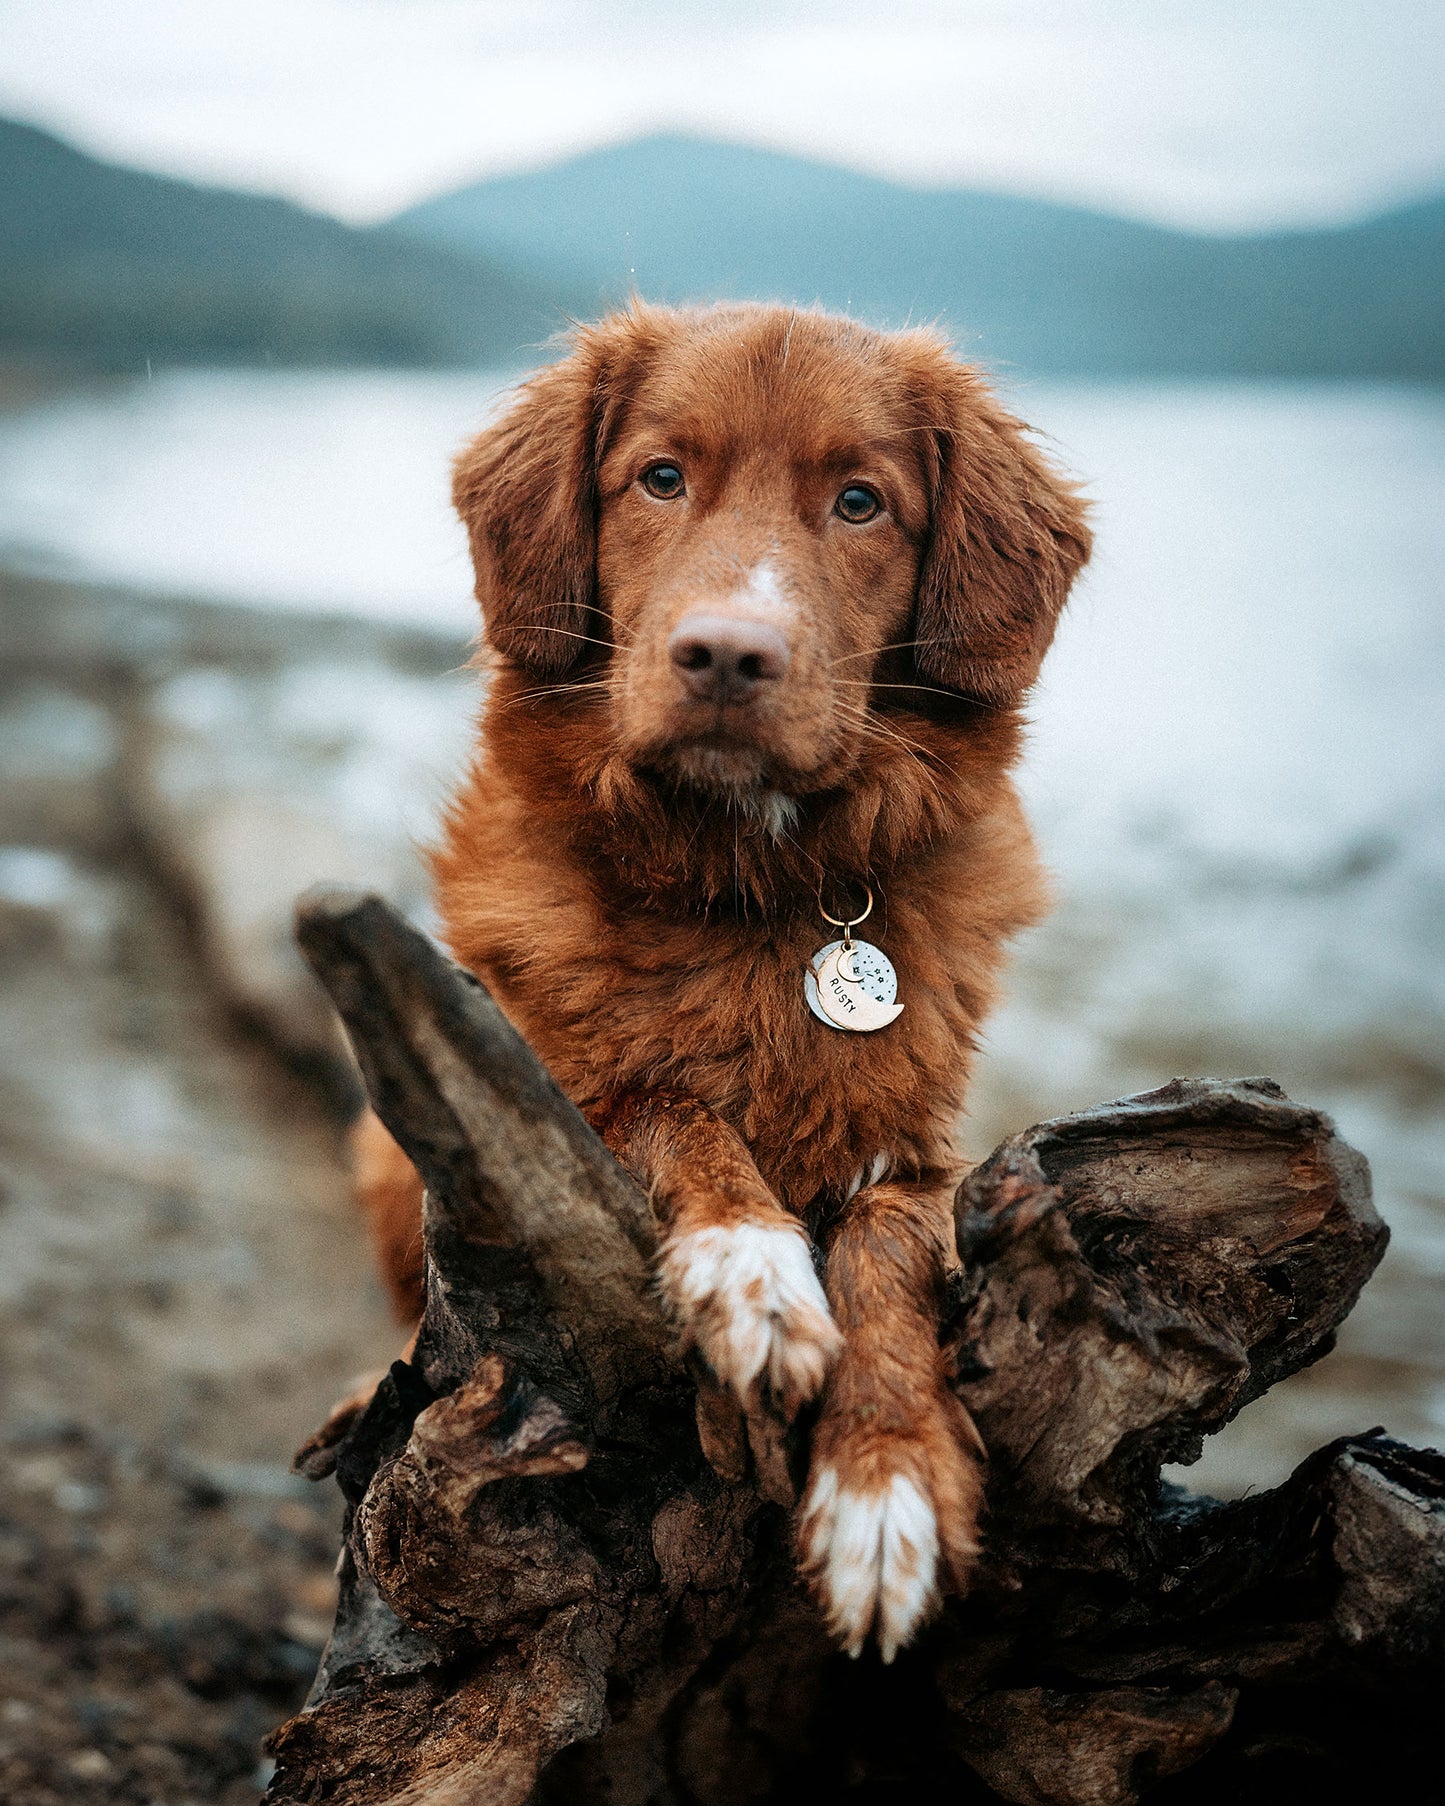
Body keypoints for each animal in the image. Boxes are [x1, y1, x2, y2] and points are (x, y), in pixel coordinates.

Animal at [355, 296, 1090, 1661]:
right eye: (660, 478)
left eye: (859, 502)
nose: (728, 656)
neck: (747, 880)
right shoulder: (534, 1094)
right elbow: (670, 1104)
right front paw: (752, 1274)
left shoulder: (929, 1155)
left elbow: (886, 1242)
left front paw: (881, 1486)